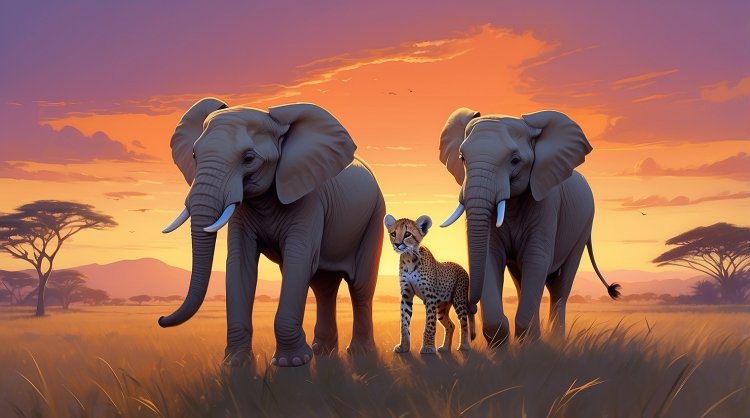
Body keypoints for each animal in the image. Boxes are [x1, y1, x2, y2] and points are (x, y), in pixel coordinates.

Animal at [156, 97, 384, 366]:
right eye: (194, 154)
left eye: (248, 158)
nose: (161, 319)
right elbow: (240, 263)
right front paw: (236, 363)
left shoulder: (310, 198)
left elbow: (298, 260)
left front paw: (291, 363)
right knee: (323, 287)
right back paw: (323, 352)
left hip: (375, 216)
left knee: (360, 286)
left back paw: (360, 353)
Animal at [438, 108, 620, 346]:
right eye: (462, 158)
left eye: (515, 160)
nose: (470, 307)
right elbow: (490, 257)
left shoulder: (547, 202)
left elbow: (536, 258)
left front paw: (530, 347)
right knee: (523, 280)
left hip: (583, 227)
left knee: (560, 287)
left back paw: (556, 341)